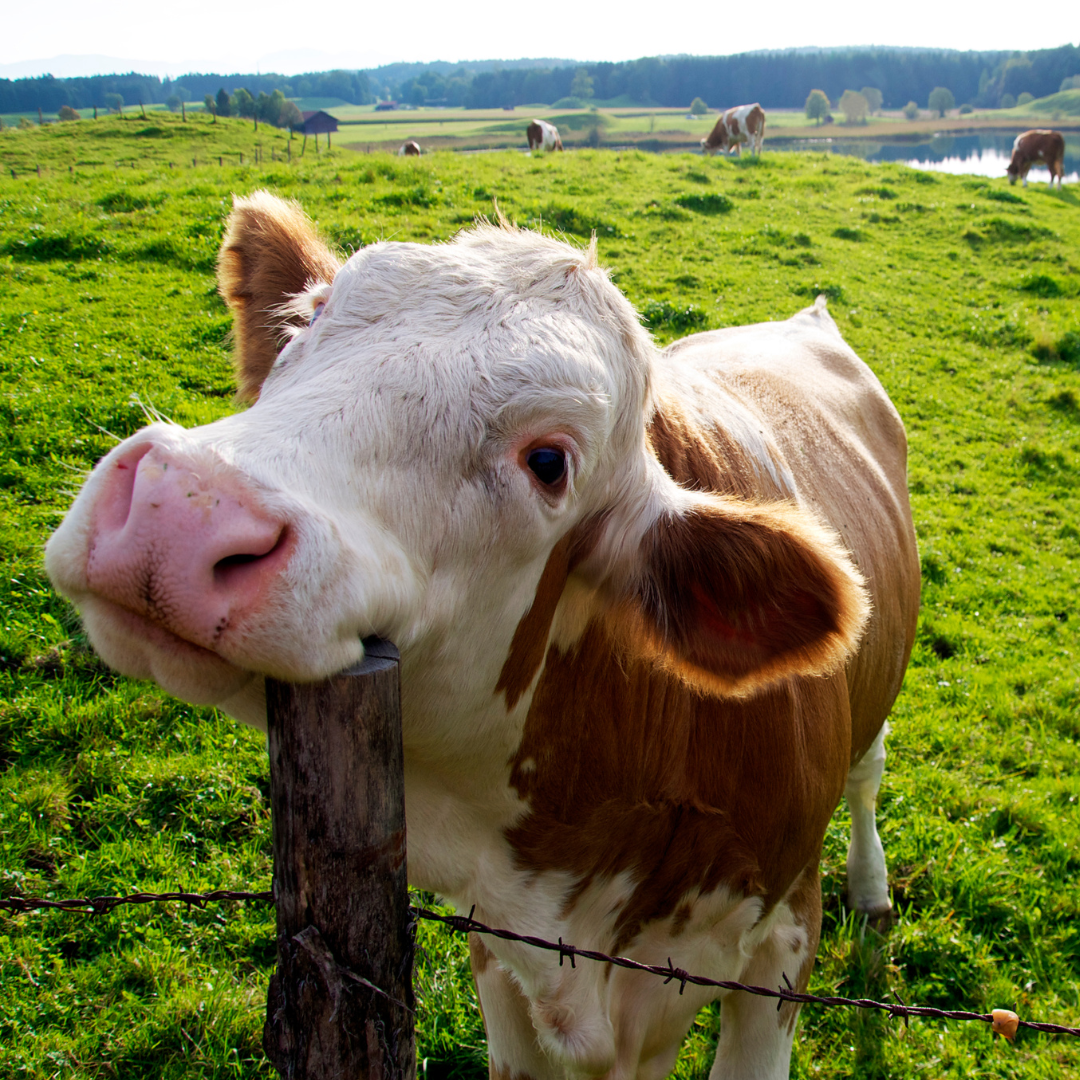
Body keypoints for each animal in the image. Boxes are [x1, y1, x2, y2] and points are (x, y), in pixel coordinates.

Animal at [45, 192, 920, 1080]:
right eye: (311, 321)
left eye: (549, 462)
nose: (179, 508)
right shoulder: (498, 952)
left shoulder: (781, 943)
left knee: (868, 774)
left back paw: (872, 889)